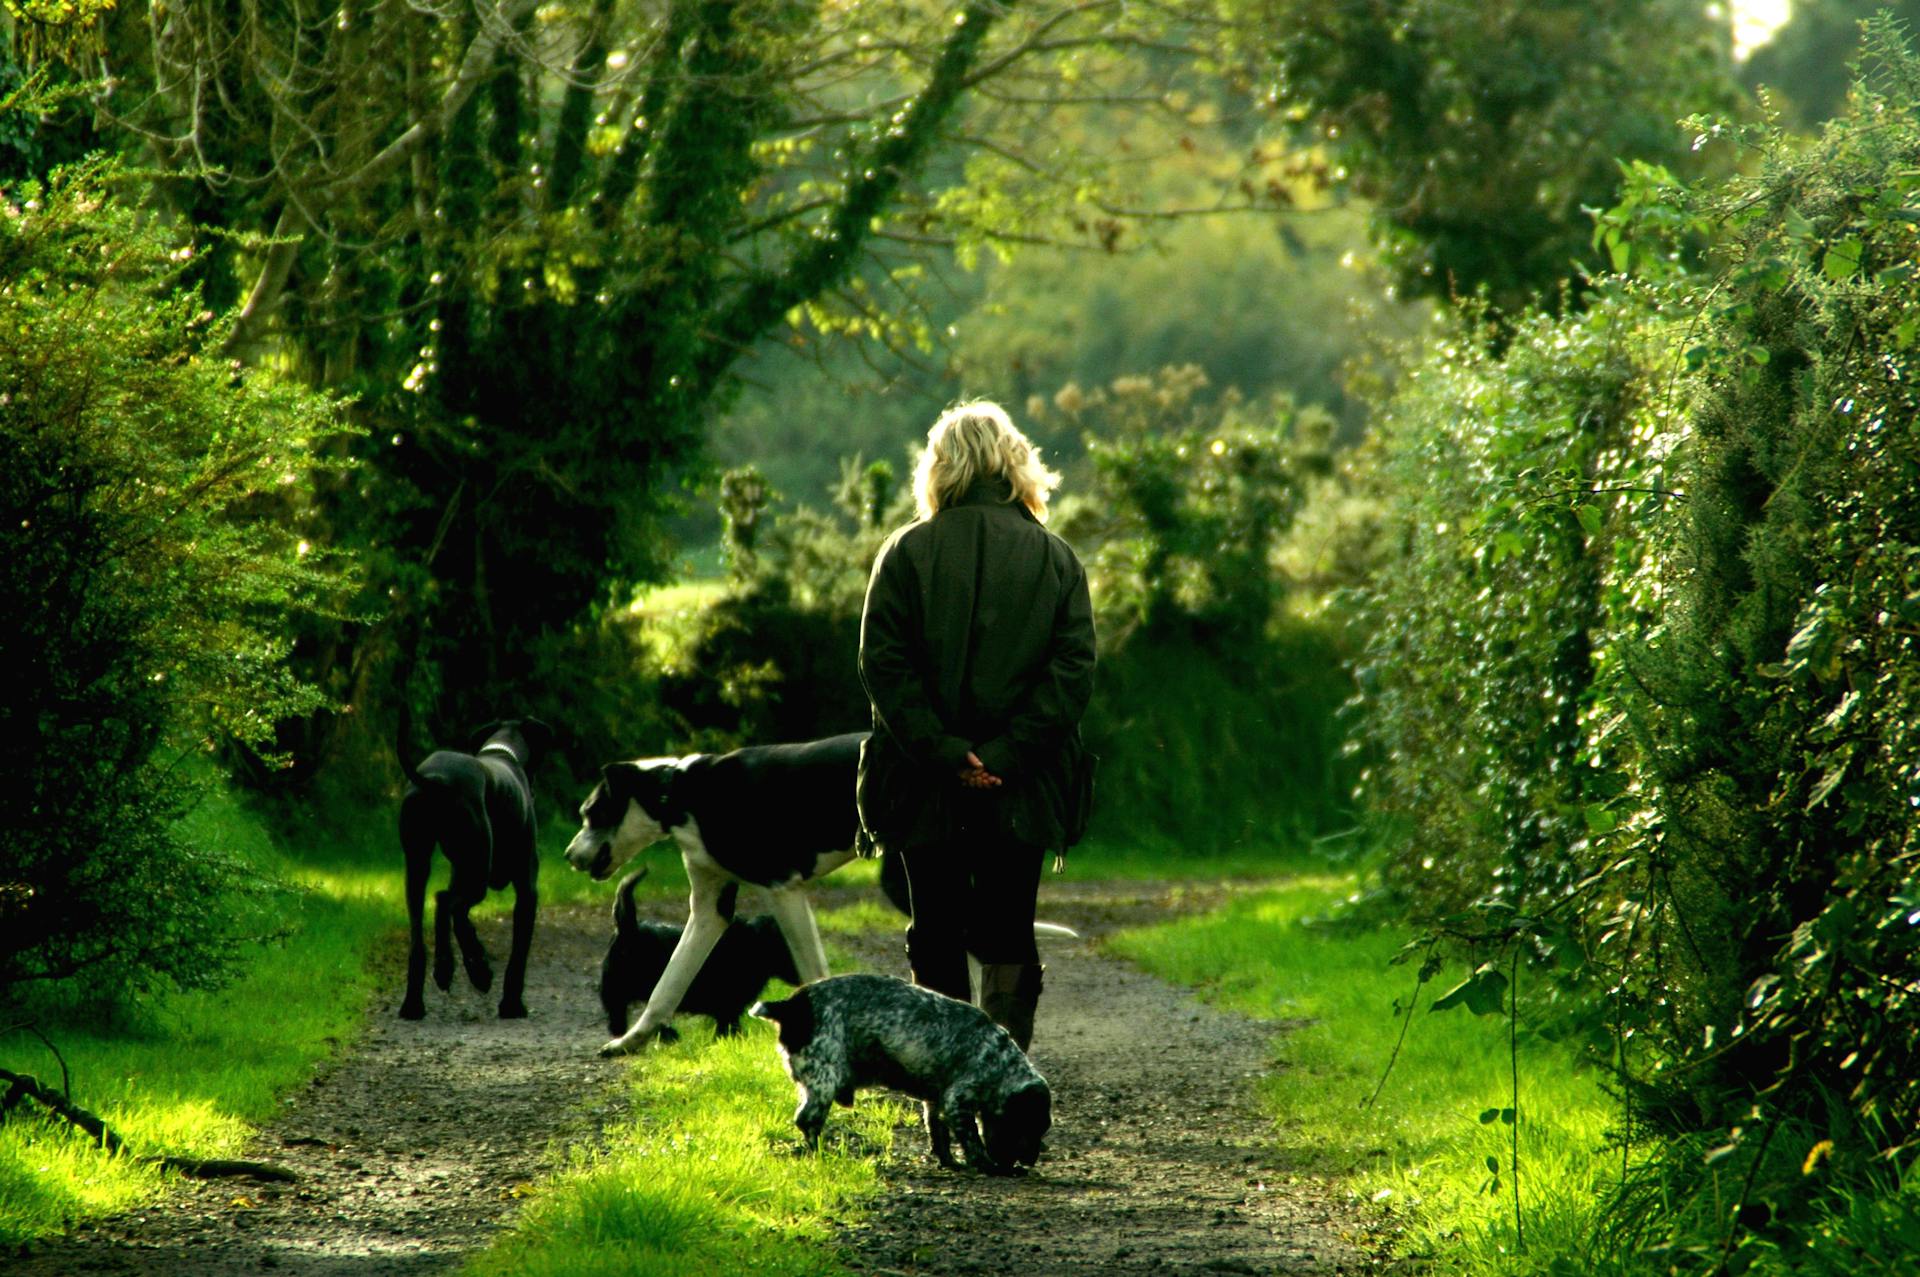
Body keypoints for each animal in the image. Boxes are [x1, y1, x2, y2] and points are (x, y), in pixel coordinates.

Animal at [395, 710, 552, 1021]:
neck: (504, 751)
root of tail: (435, 778)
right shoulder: (528, 890)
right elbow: (518, 954)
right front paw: (512, 1004)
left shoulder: (460, 872)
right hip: (477, 869)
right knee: (447, 902)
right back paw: (469, 969)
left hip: (419, 865)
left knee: (425, 926)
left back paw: (418, 998)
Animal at [595, 867, 798, 1036]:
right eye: (787, 950)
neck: (755, 944)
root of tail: (627, 929)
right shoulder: (727, 1006)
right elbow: (728, 1028)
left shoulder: (730, 1009)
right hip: (615, 983)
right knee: (617, 1006)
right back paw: (623, 1031)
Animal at [748, 975, 1052, 1175]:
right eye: (1033, 1126)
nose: (1030, 1161)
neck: (999, 1060)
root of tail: (792, 1006)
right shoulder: (957, 1101)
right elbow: (973, 1142)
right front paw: (989, 1167)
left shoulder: (936, 1100)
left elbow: (938, 1132)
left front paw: (948, 1161)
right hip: (824, 1080)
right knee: (807, 1120)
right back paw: (821, 1152)